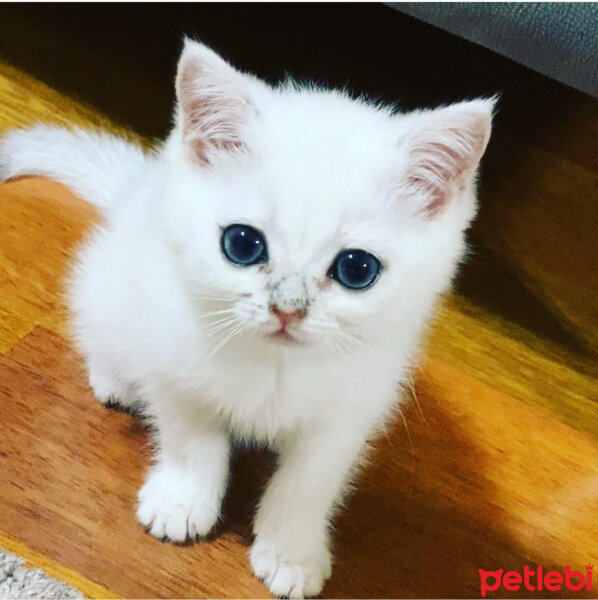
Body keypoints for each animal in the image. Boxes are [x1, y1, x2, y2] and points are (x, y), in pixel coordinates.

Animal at [0, 39, 494, 596]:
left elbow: (310, 481)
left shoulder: (349, 410)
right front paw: (183, 500)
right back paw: (116, 380)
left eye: (357, 269)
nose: (287, 307)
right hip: (111, 288)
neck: (273, 366)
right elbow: (190, 438)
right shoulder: (173, 361)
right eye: (241, 244)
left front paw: (291, 551)